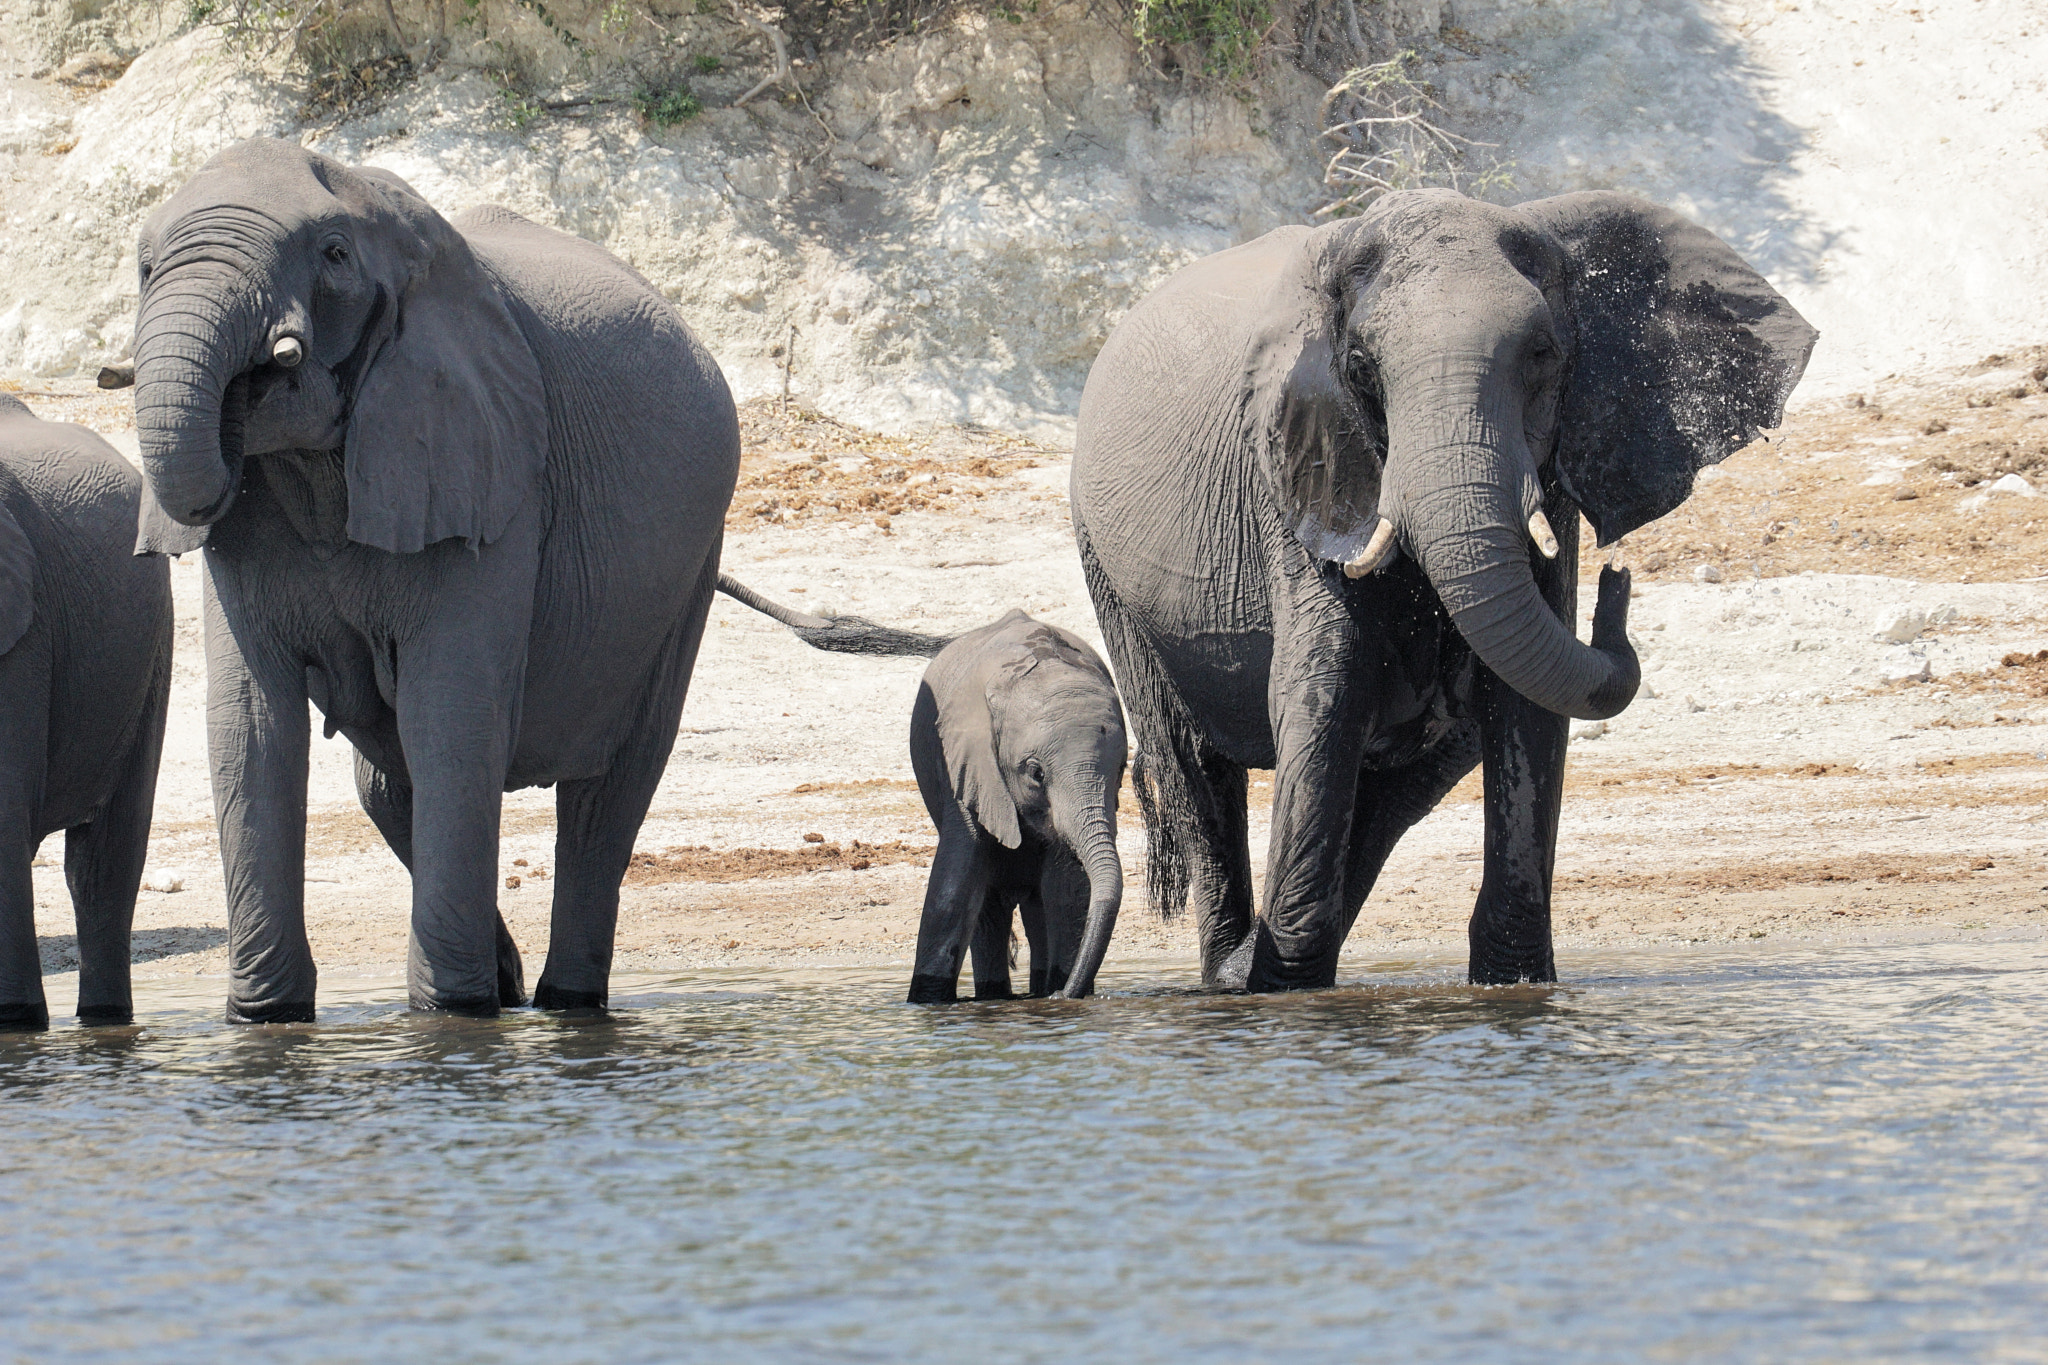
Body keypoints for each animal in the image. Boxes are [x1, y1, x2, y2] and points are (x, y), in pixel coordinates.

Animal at [121, 139, 745, 1019]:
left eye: (334, 256)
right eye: (145, 268)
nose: (262, 370)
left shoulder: (491, 463)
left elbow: (450, 716)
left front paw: (449, 1014)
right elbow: (253, 726)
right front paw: (264, 1020)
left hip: (691, 564)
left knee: (608, 793)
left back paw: (559, 1000)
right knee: (387, 784)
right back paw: (510, 984)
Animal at [1064, 189, 1818, 994]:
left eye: (1544, 356)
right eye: (1360, 366)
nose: (1618, 583)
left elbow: (1528, 706)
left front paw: (1515, 986)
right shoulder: (1298, 472)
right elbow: (1325, 689)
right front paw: (1289, 990)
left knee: (1406, 780)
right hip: (1109, 573)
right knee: (1196, 772)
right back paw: (1231, 976)